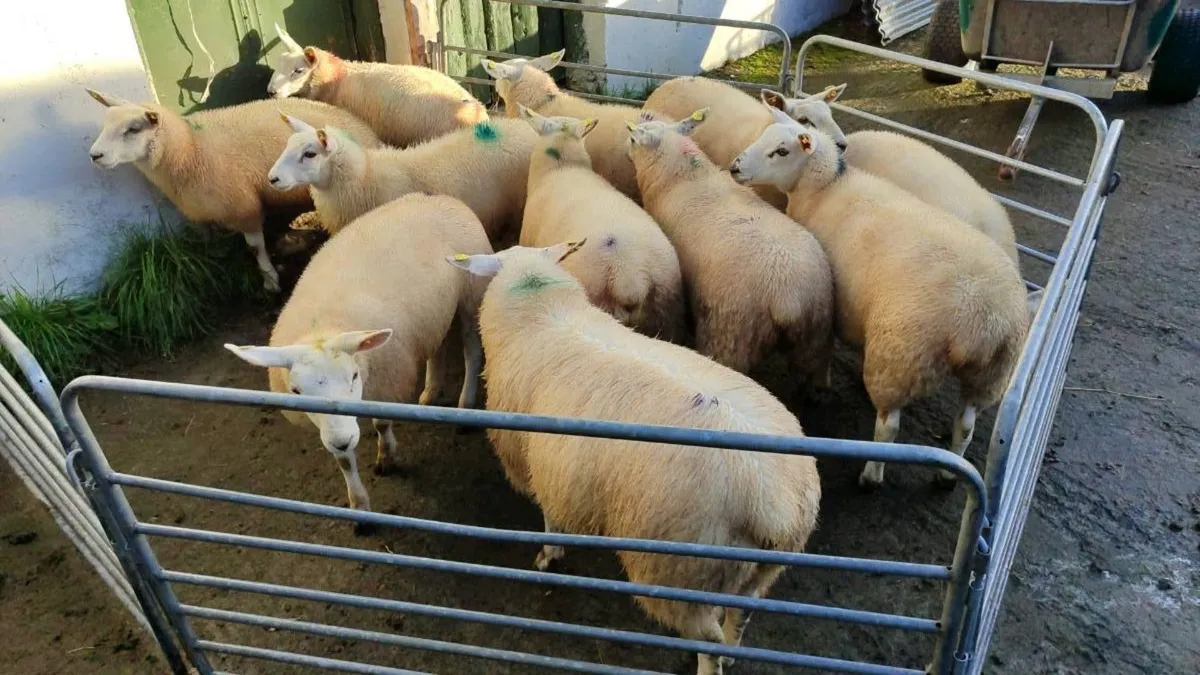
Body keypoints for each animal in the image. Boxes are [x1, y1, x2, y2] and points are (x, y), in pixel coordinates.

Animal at [84, 89, 381, 292]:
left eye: (133, 129)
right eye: (106, 124)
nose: (94, 155)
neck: (190, 149)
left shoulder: (243, 206)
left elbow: (254, 247)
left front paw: (270, 280)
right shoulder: (200, 214)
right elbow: (209, 246)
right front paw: (213, 270)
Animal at [225, 194, 491, 527]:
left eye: (353, 377)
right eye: (297, 391)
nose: (342, 439)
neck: (322, 327)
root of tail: (438, 197)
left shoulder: (386, 385)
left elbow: (382, 425)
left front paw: (386, 457)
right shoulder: (331, 429)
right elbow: (344, 462)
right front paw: (360, 507)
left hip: (471, 294)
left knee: (471, 350)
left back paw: (465, 405)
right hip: (434, 311)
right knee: (437, 345)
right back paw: (430, 392)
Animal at [446, 243, 821, 675]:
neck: (541, 308)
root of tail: (777, 505)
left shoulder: (532, 458)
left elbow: (549, 516)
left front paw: (549, 555)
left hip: (680, 570)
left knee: (708, 641)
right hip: (756, 573)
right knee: (741, 617)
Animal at [626, 110, 835, 384]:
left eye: (633, 140)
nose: (626, 148)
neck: (682, 177)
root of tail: (789, 298)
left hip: (731, 333)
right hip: (815, 344)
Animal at [730, 120, 1029, 489]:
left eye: (781, 151)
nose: (735, 167)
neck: (826, 188)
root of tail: (983, 322)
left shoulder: (832, 300)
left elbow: (826, 347)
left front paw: (822, 381)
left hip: (902, 354)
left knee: (889, 425)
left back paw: (871, 475)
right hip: (989, 376)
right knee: (966, 425)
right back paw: (947, 475)